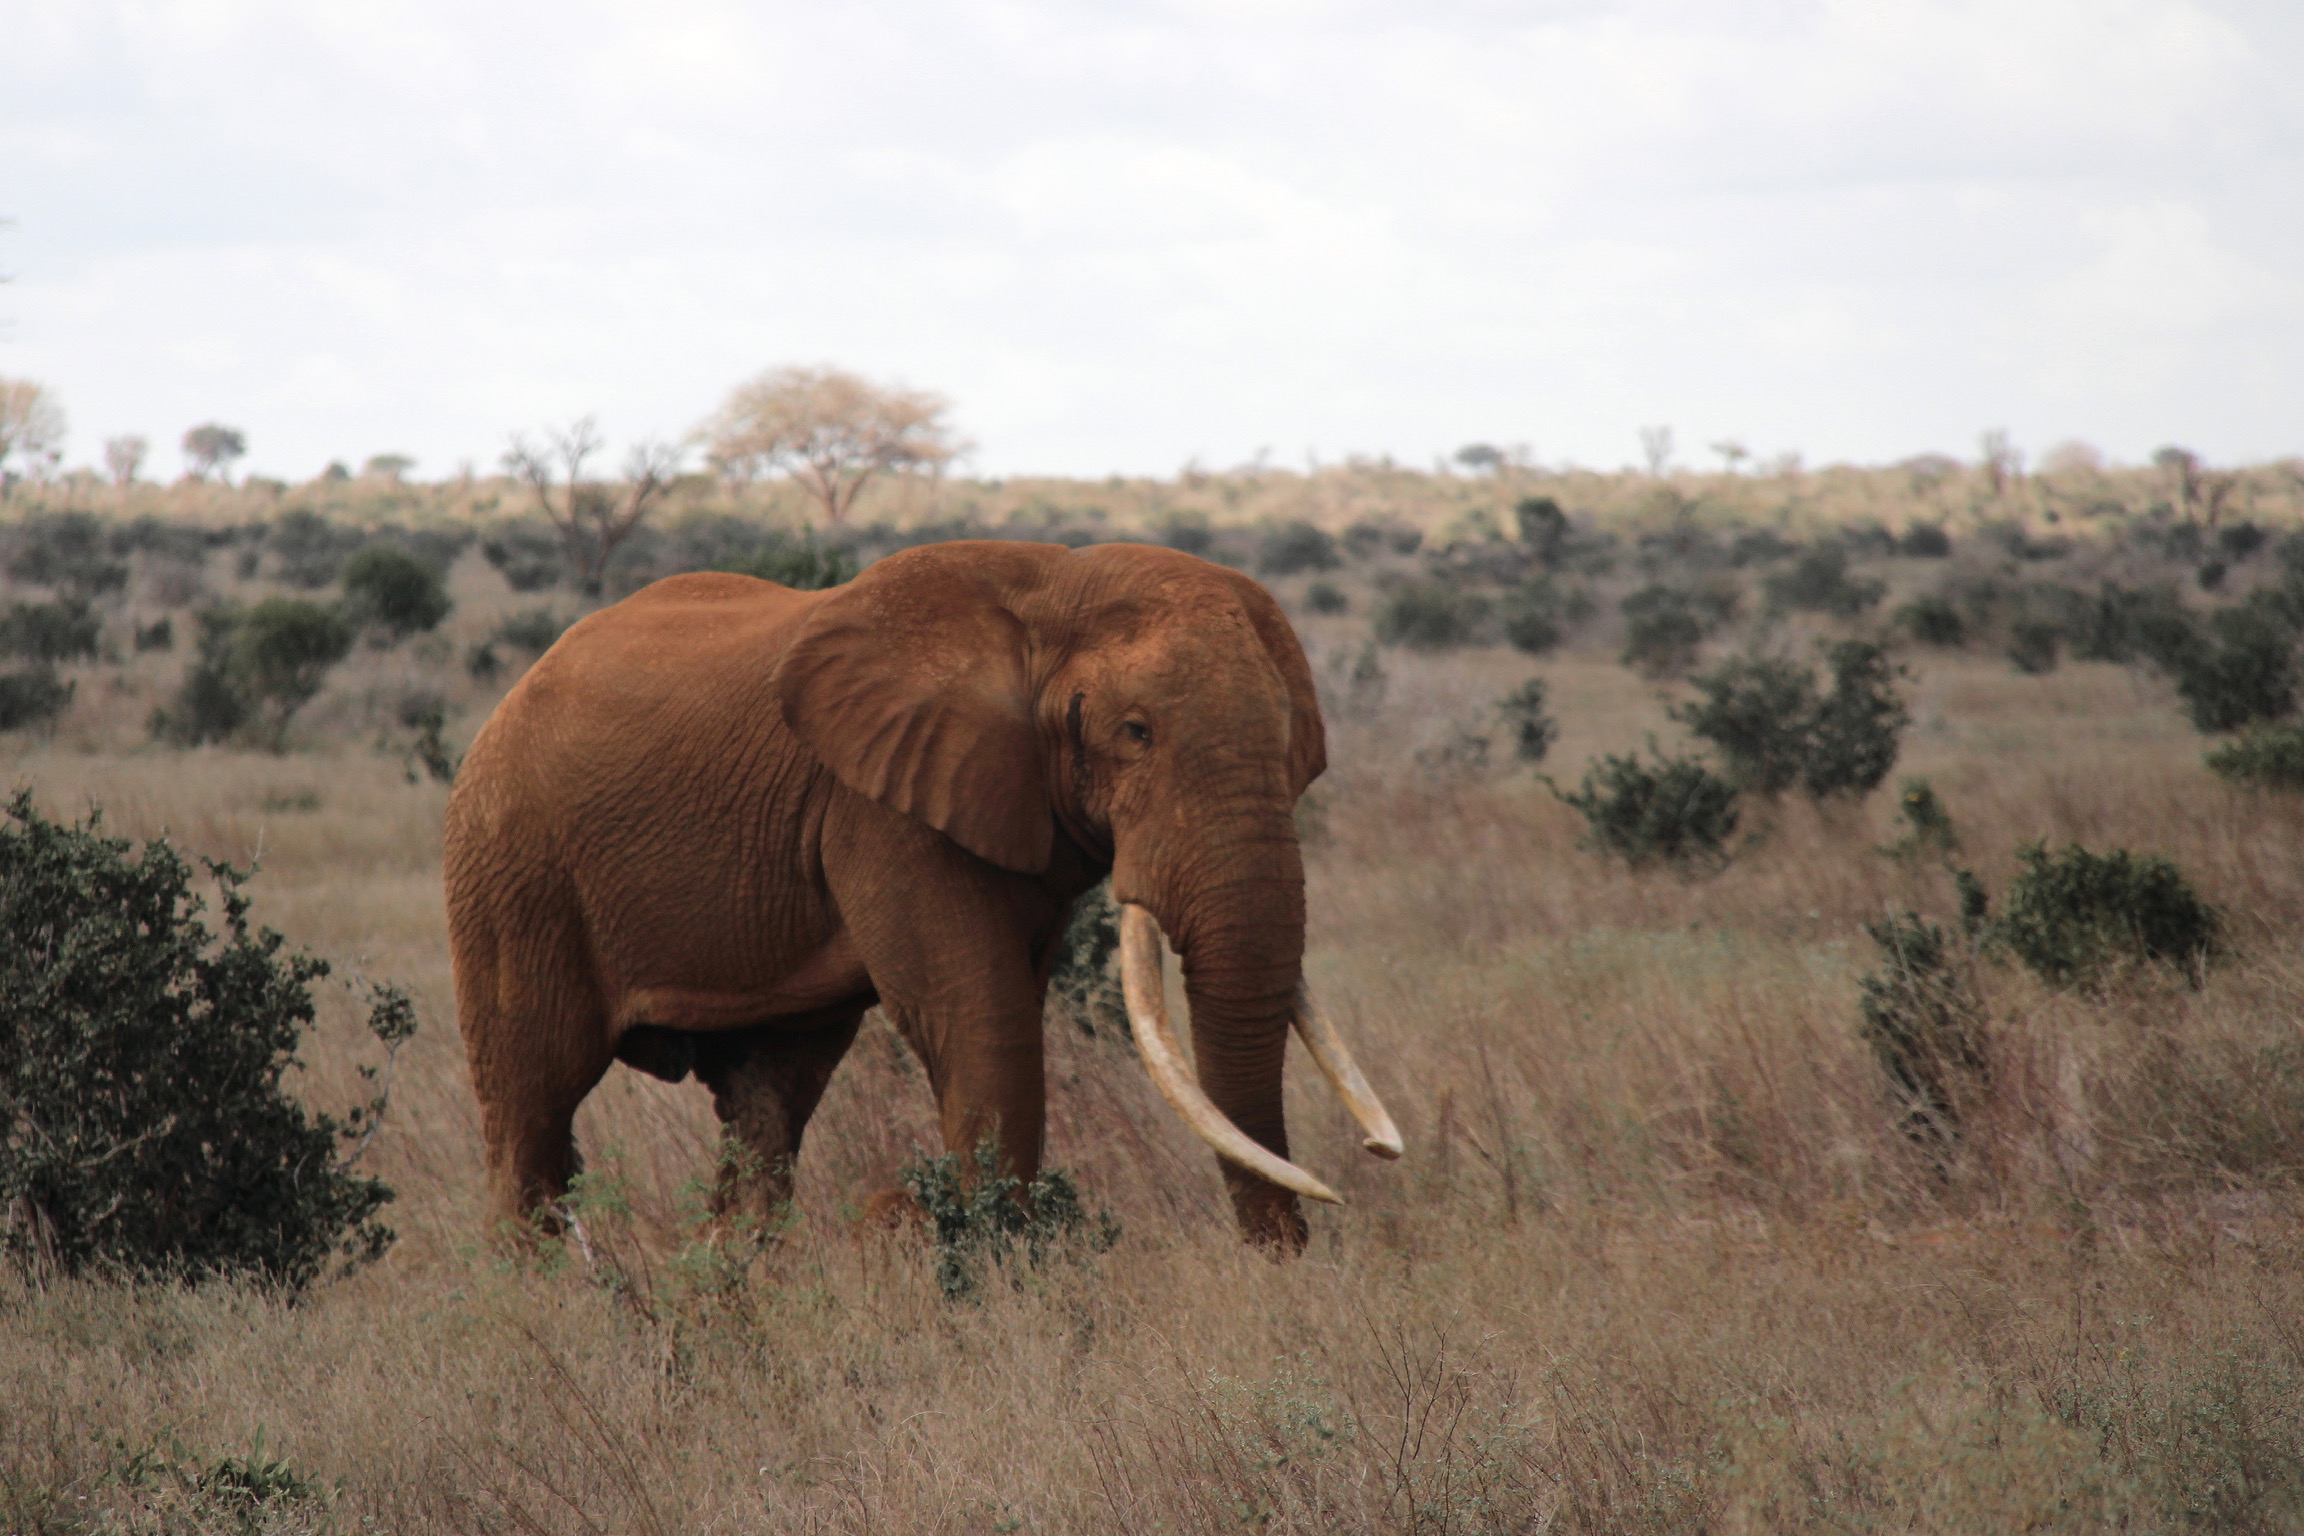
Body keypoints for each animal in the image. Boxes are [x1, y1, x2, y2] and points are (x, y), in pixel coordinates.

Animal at [442, 539, 1399, 1250]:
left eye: (1292, 746)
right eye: (1136, 733)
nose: (1283, 1263)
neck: (1056, 583)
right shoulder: (879, 806)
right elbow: (980, 1016)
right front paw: (998, 1285)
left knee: (766, 1104)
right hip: (509, 863)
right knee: (532, 1109)